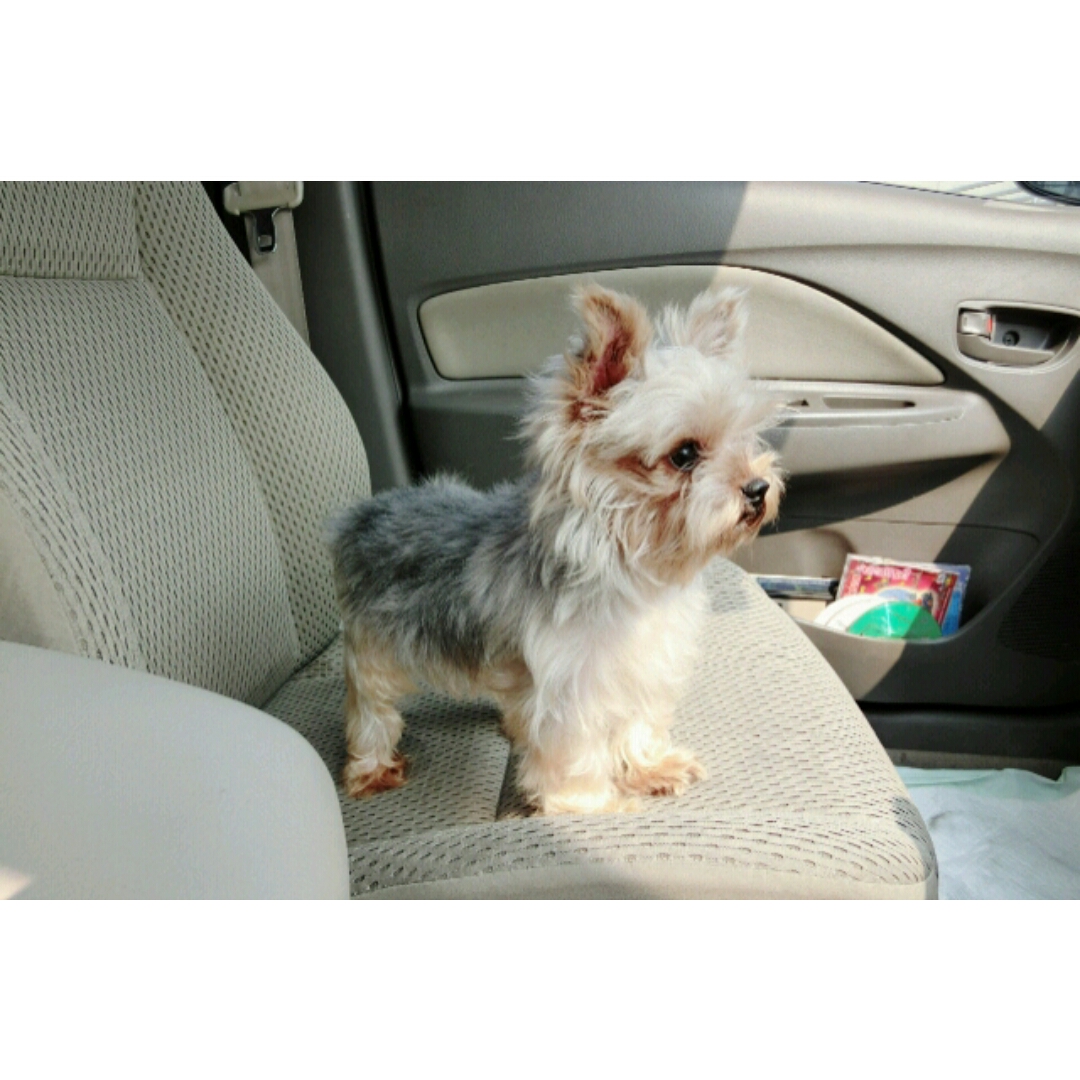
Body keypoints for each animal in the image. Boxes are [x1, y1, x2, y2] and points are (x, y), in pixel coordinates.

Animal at [328, 283, 783, 814]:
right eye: (685, 454)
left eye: (742, 440)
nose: (758, 489)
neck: (627, 566)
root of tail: (366, 510)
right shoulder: (573, 682)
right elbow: (575, 747)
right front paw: (588, 805)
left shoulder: (642, 662)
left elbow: (638, 718)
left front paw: (649, 767)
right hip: (373, 641)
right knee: (369, 702)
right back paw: (371, 766)